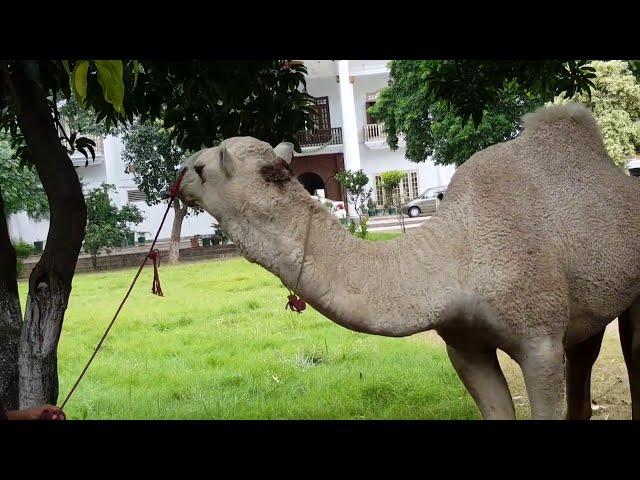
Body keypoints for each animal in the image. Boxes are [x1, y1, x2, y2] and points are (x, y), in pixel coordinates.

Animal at [175, 103, 640, 418]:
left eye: (201, 168)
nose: (177, 177)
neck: (456, 257)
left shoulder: (539, 341)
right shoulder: (464, 346)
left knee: (630, 352)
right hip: (587, 305)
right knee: (585, 355)